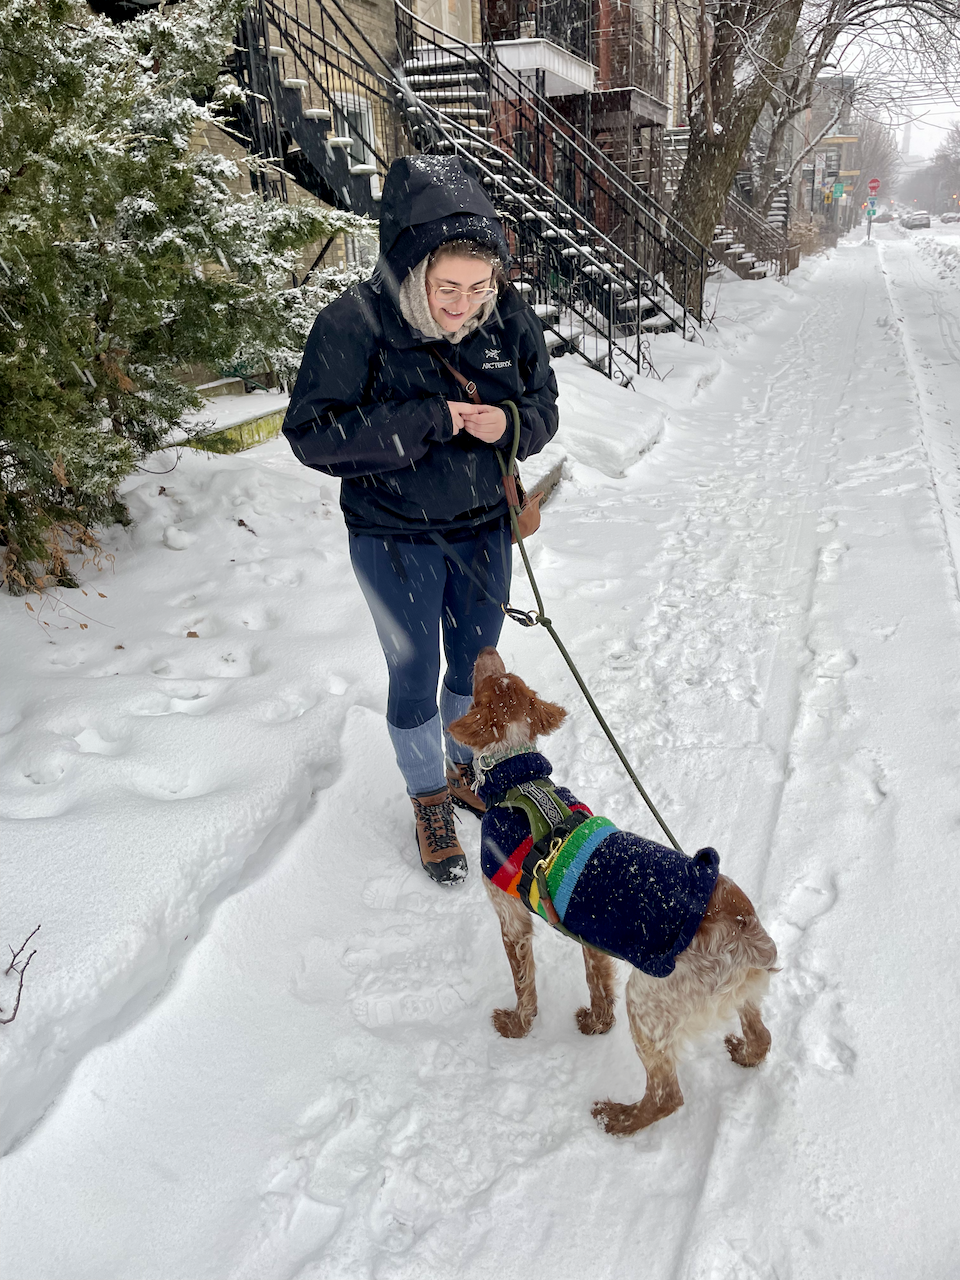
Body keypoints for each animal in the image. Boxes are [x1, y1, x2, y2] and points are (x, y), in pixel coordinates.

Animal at [448, 647, 778, 1135]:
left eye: (482, 683)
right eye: (502, 675)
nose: (487, 649)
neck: (519, 780)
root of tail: (744, 928)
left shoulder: (513, 921)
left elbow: (525, 986)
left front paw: (516, 1027)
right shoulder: (590, 933)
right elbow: (596, 983)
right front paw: (596, 1023)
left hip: (647, 1000)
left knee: (666, 1096)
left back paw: (617, 1118)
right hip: (738, 996)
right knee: (763, 1036)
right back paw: (744, 1051)